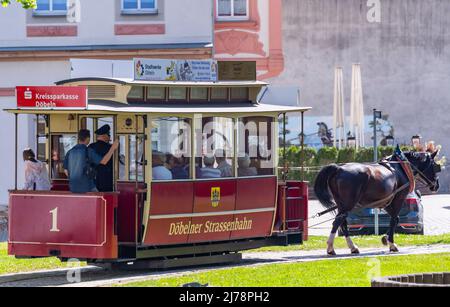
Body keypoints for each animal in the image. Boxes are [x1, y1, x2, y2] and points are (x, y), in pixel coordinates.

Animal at [314, 150, 442, 256]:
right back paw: (330, 248)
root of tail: (338, 169)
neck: (401, 168)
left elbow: (396, 220)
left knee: (343, 223)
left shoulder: (387, 202)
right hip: (348, 204)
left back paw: (353, 247)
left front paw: (385, 238)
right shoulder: (399, 198)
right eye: (435, 166)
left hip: (342, 204)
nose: (436, 185)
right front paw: (391, 244)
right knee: (337, 222)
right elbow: (393, 220)